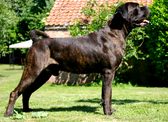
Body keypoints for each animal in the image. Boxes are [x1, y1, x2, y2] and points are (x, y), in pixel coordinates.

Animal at [4, 2, 150, 116]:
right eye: (137, 7)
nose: (147, 7)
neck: (115, 32)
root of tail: (36, 40)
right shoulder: (108, 72)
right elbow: (107, 94)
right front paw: (108, 112)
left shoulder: (109, 73)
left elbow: (107, 94)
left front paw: (110, 109)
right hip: (32, 71)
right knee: (14, 92)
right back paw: (9, 113)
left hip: (41, 75)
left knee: (26, 92)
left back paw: (27, 110)